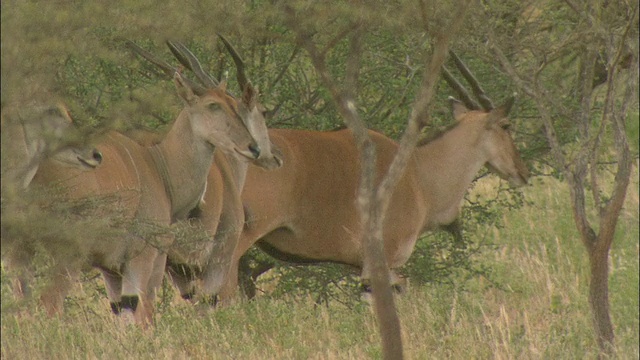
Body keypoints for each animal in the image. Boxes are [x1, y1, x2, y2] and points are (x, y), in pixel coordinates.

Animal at [26, 71, 268, 326]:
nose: (253, 148)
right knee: (49, 301)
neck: (160, 165)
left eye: (235, 106)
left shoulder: (112, 269)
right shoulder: (150, 258)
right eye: (213, 105)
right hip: (68, 257)